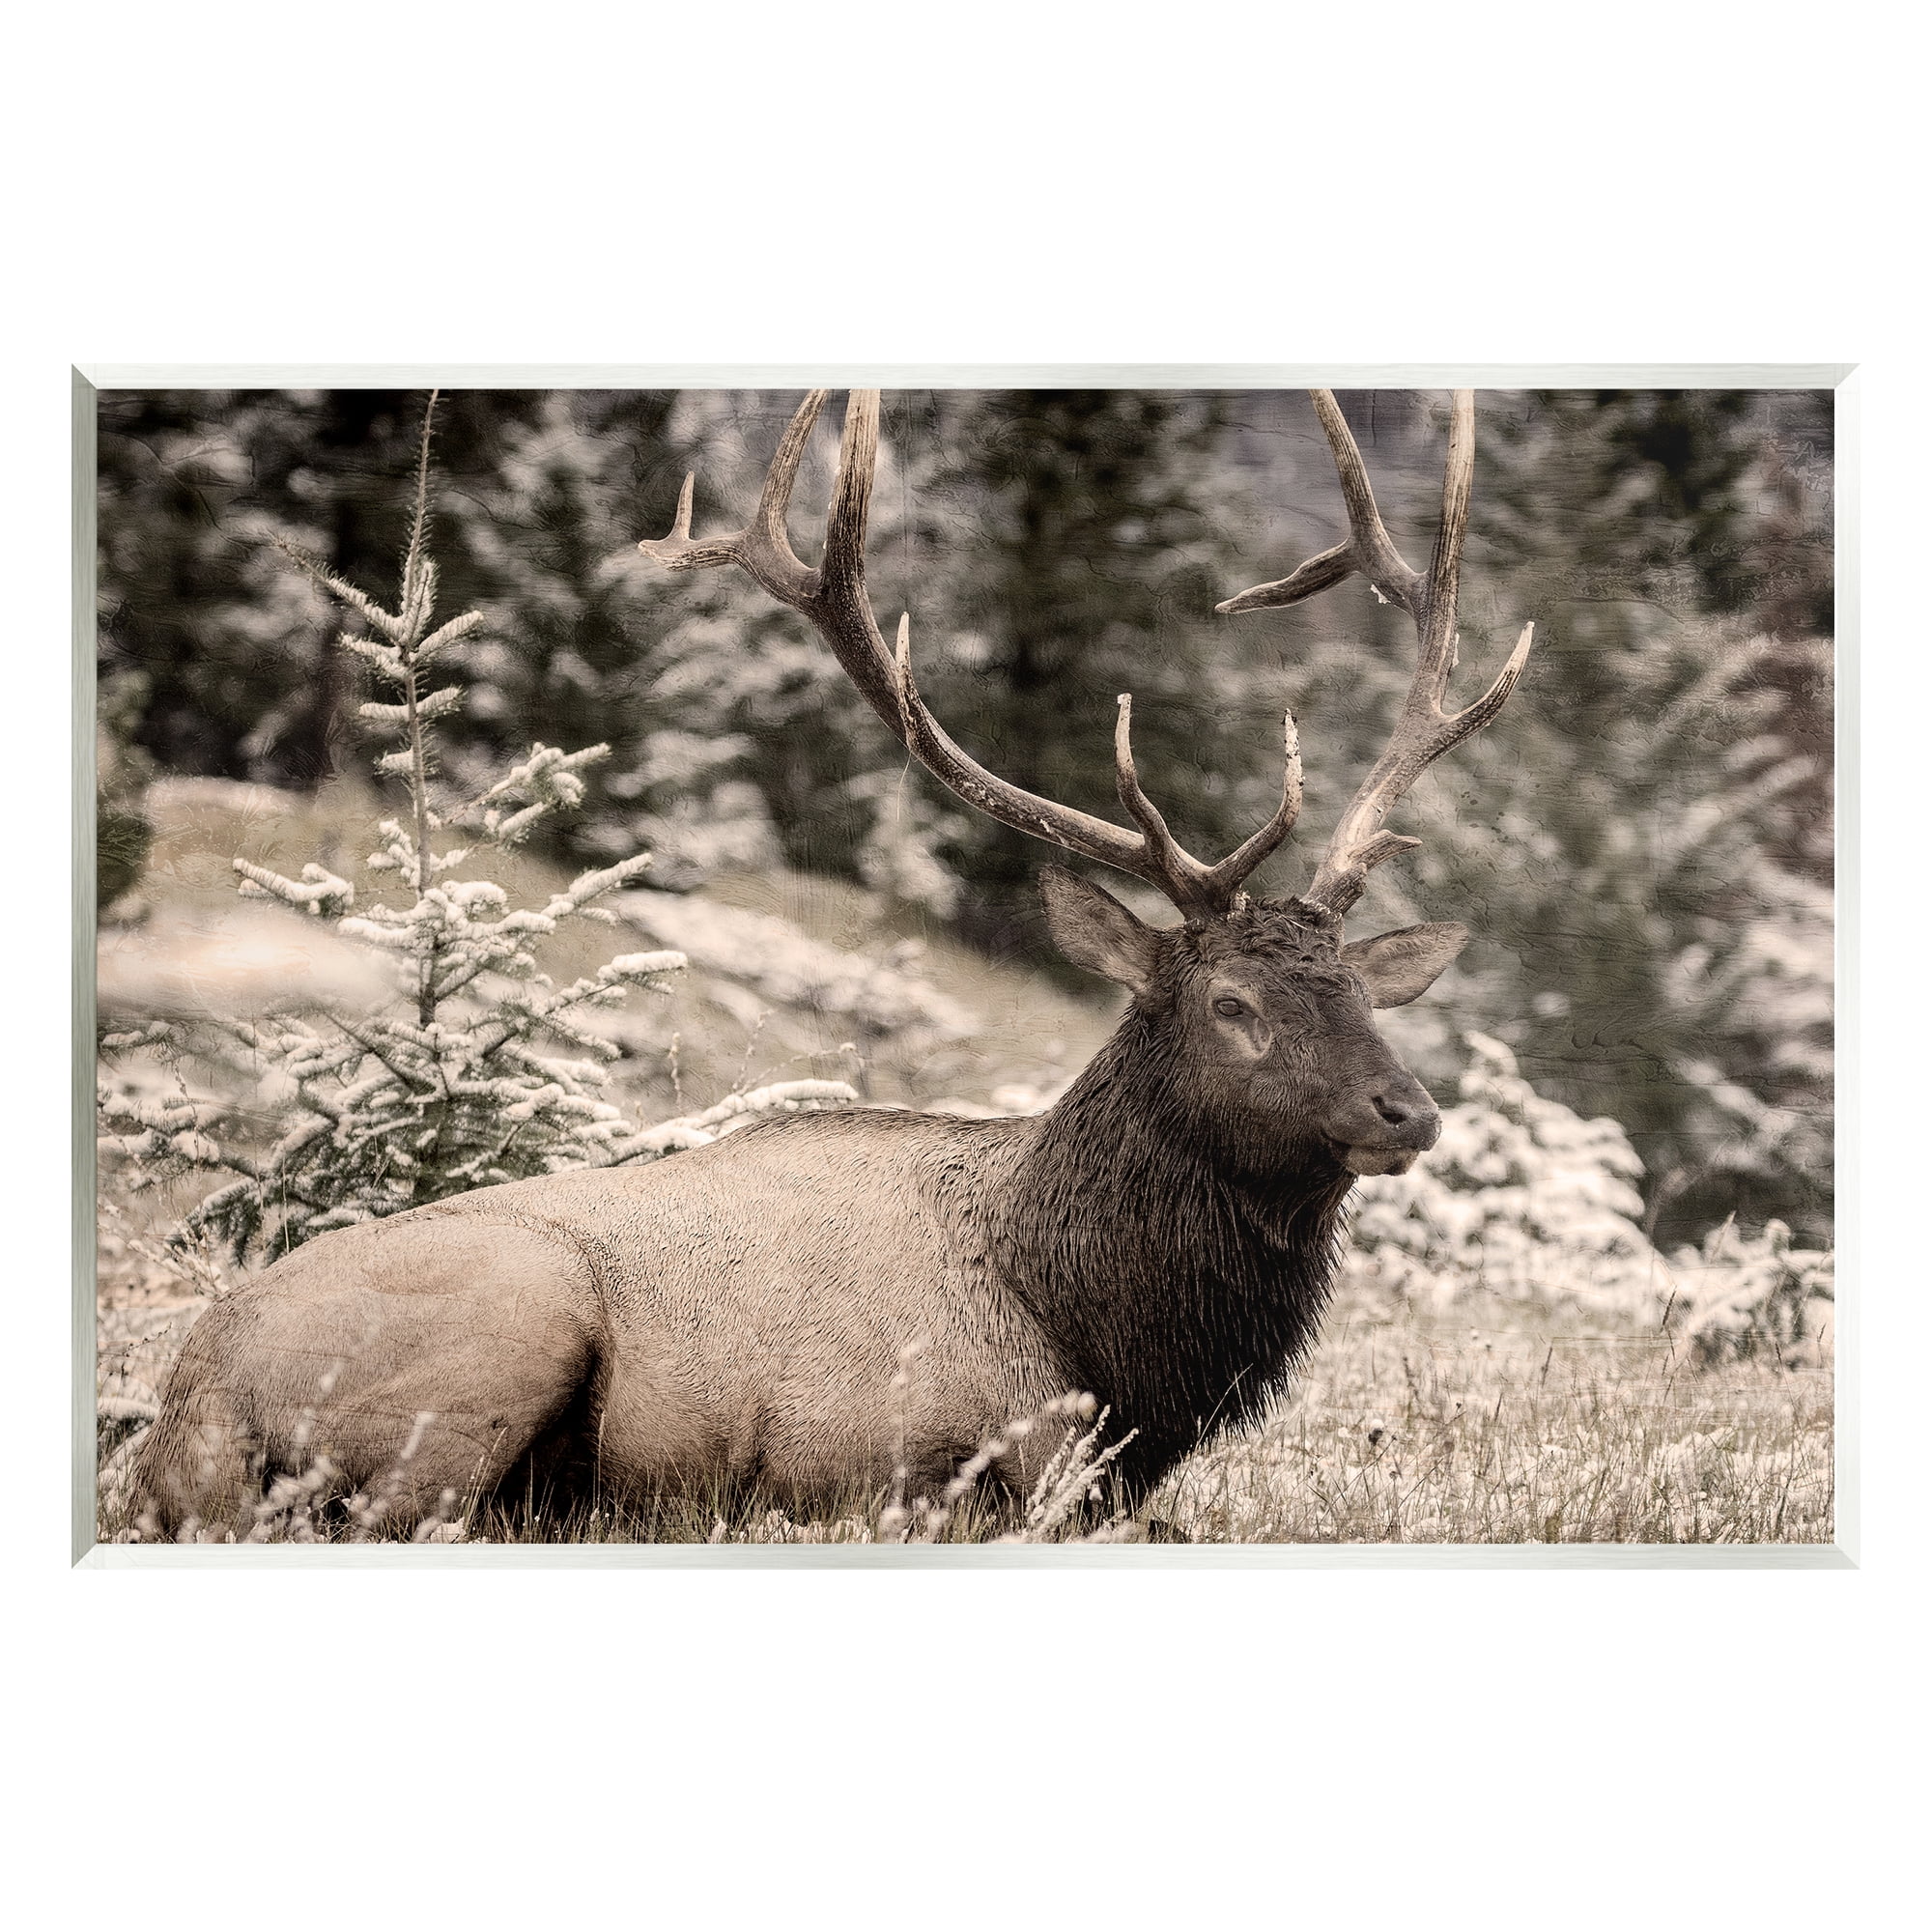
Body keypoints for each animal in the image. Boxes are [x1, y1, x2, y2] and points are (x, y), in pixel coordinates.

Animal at [129, 387, 1532, 1537]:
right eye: (1232, 1002)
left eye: (1360, 990)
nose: (1407, 1109)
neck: (1103, 1339)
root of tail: (182, 1411)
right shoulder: (903, 1457)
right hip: (506, 1316)